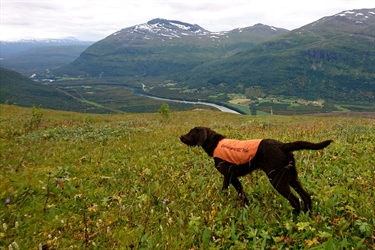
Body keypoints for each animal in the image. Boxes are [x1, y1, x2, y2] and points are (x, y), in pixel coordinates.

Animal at [181, 127, 334, 215]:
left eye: (190, 133)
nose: (180, 137)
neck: (216, 144)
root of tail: (284, 146)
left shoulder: (229, 175)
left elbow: (229, 190)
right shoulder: (232, 177)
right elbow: (239, 192)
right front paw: (245, 206)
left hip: (277, 179)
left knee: (296, 200)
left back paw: (293, 218)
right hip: (292, 176)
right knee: (306, 196)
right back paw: (307, 215)